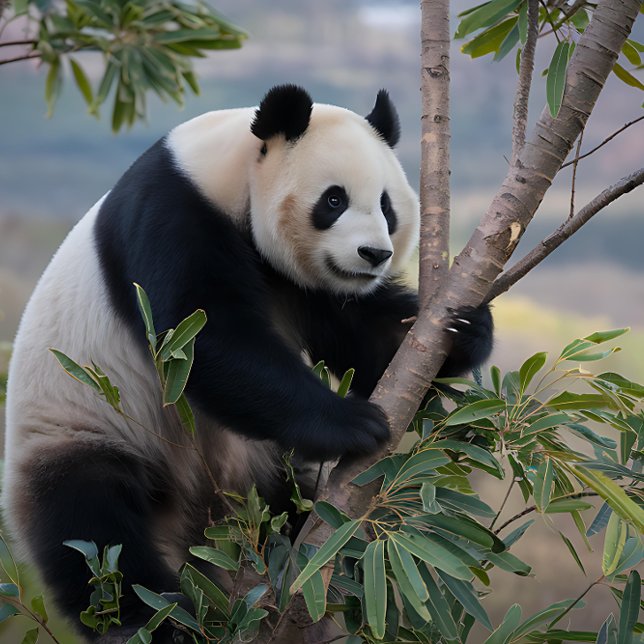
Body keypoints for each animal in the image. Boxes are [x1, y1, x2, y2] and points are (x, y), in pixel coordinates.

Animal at [3, 84, 493, 641]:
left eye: (387, 206)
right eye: (334, 200)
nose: (374, 254)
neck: (226, 175)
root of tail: (198, 523)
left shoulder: (304, 284)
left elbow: (364, 336)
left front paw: (463, 328)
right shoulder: (173, 213)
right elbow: (203, 339)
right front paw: (354, 422)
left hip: (263, 475)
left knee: (294, 503)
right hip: (78, 429)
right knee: (96, 536)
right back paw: (160, 622)